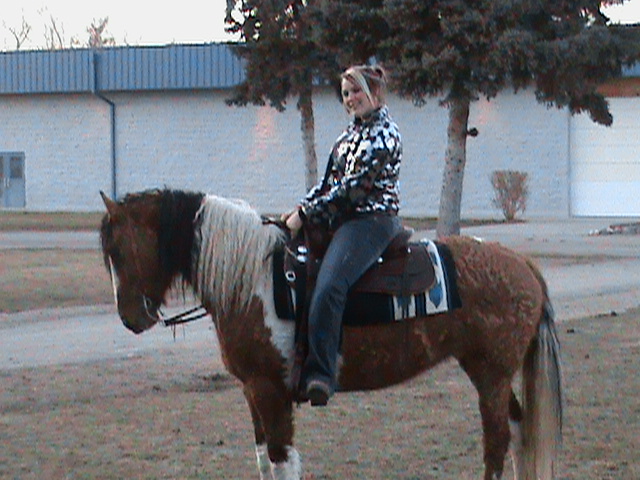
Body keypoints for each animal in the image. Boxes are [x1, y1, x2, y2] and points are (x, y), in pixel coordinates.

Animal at [99, 188, 563, 480]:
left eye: (117, 250)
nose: (129, 318)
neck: (252, 279)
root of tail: (523, 264)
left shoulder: (270, 391)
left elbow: (283, 463)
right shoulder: (252, 391)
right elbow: (264, 463)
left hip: (491, 374)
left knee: (497, 443)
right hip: (490, 373)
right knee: (519, 432)